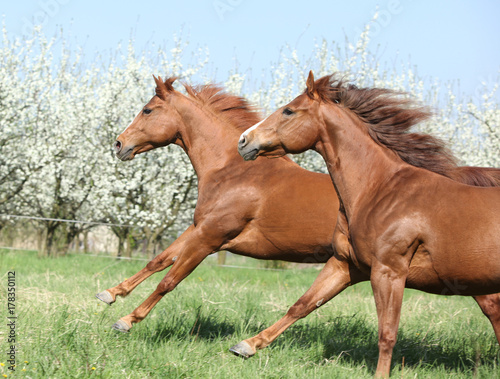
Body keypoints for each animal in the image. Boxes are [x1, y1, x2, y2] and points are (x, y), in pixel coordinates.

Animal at [237, 71, 500, 378]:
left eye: (288, 110)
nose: (243, 140)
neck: (378, 190)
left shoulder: (388, 272)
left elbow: (387, 332)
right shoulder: (345, 264)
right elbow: (302, 305)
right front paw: (246, 346)